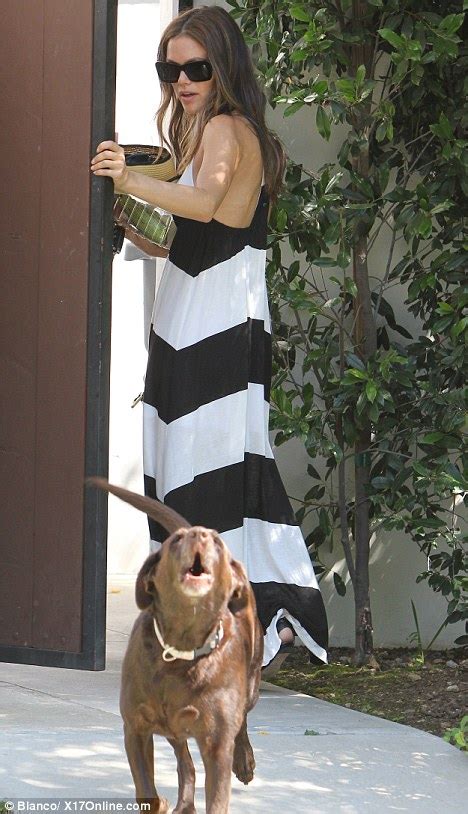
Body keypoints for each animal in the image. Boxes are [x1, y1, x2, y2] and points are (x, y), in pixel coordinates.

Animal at [88, 478, 264, 814]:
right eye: (177, 540)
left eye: (217, 542)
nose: (198, 535)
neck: (182, 648)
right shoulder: (136, 728)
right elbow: (146, 789)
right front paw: (161, 803)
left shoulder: (216, 744)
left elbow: (217, 797)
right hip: (172, 728)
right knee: (186, 761)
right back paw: (183, 804)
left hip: (250, 686)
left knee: (242, 722)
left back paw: (244, 761)